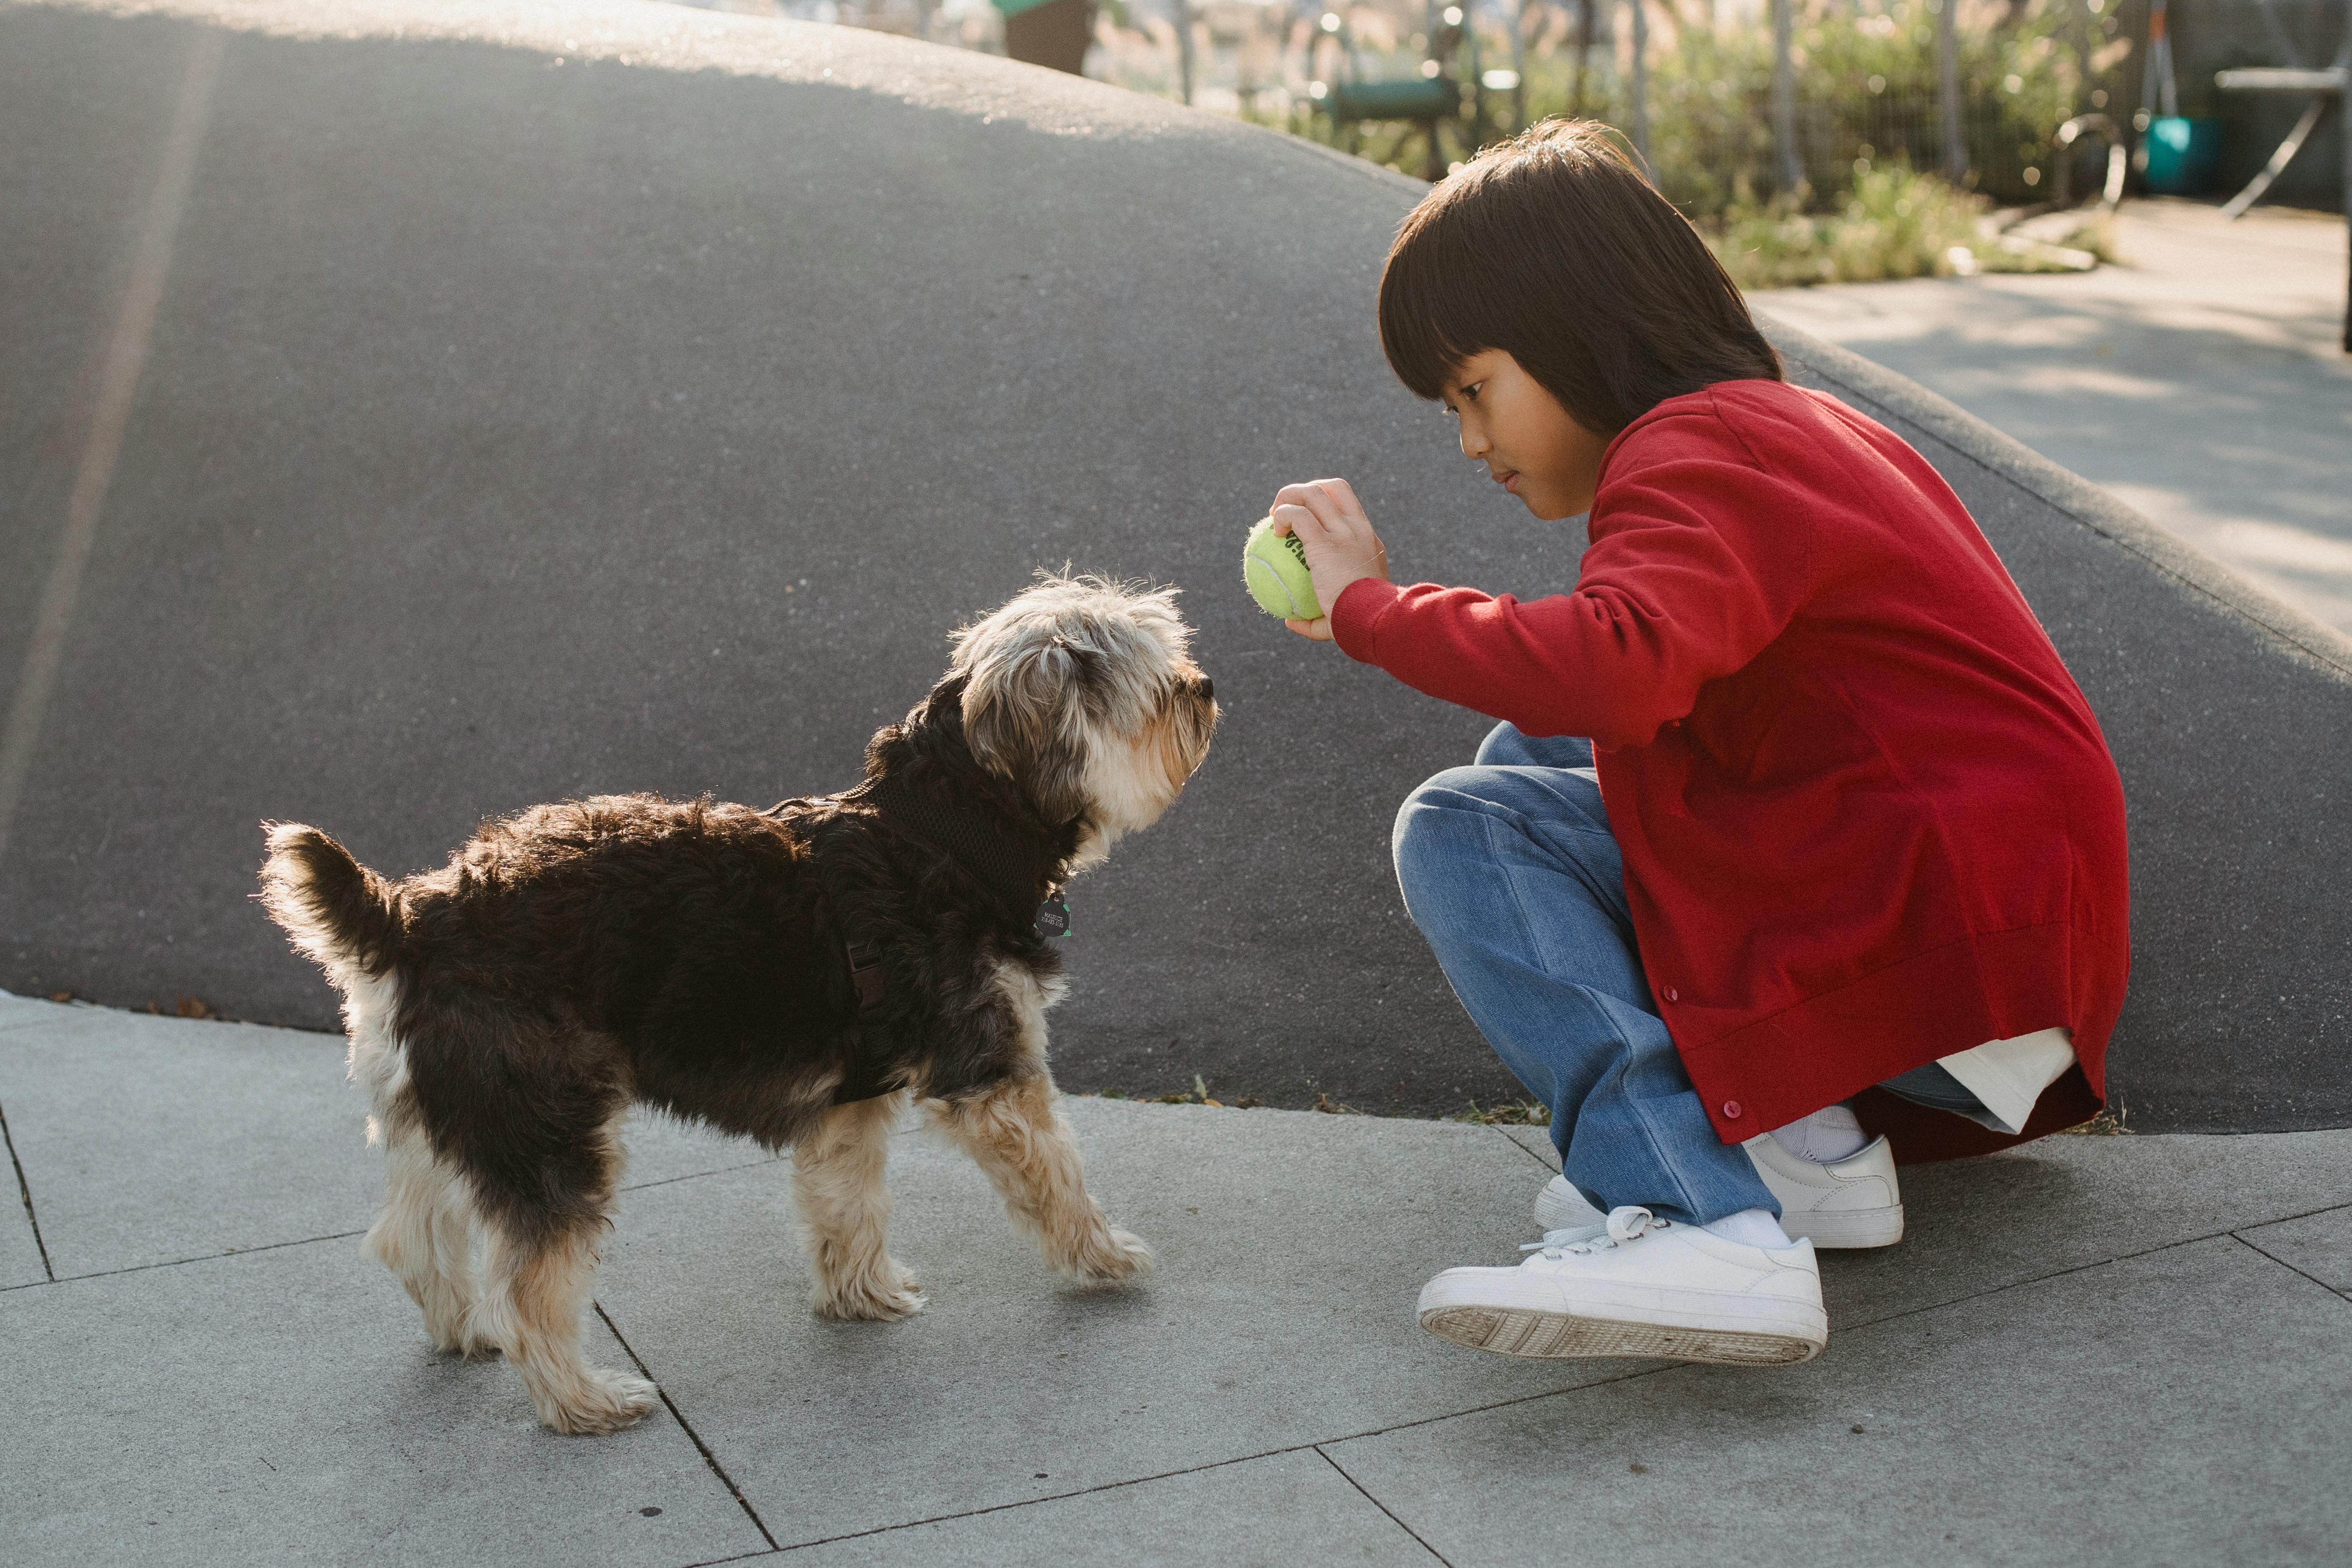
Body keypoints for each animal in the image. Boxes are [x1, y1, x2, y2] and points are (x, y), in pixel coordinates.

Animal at [260, 576, 1223, 1438]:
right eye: (1149, 679)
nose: (1204, 685)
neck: (946, 831)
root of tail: (414, 917)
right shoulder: (992, 1078)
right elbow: (1058, 1175)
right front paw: (1103, 1256)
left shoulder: (850, 1102)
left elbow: (847, 1202)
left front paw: (861, 1293)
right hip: (547, 1129)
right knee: (531, 1286)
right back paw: (582, 1400)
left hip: (449, 1116)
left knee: (410, 1238)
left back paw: (467, 1332)